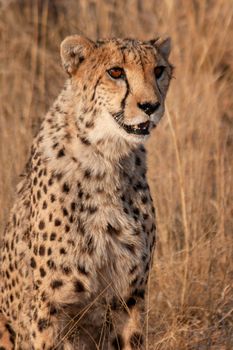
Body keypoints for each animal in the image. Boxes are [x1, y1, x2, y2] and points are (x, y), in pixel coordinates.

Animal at [0, 34, 172, 348]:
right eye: (115, 72)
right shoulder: (49, 304)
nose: (150, 106)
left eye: (158, 71)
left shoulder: (129, 295)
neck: (106, 158)